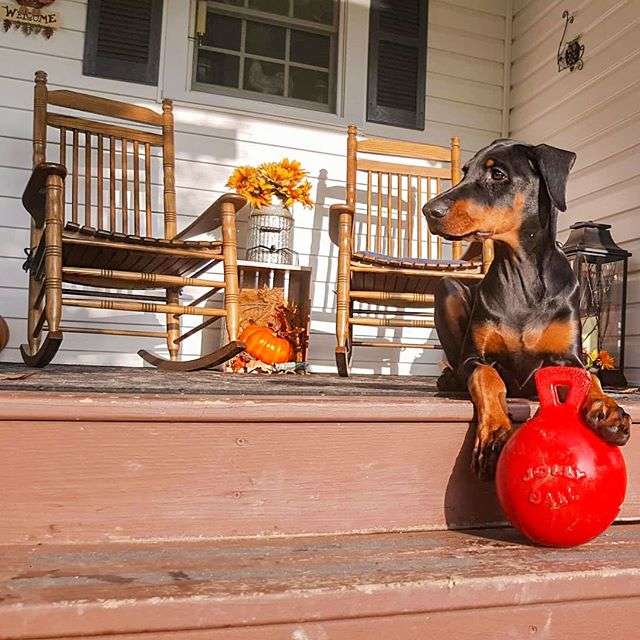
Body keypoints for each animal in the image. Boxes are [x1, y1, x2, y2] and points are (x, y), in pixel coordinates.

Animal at [424, 140, 632, 480]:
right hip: (448, 288)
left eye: (497, 174)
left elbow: (590, 377)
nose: (429, 210)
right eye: (466, 171)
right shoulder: (475, 358)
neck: (522, 274)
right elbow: (487, 376)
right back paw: (449, 379)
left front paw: (608, 410)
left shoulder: (568, 356)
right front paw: (495, 434)